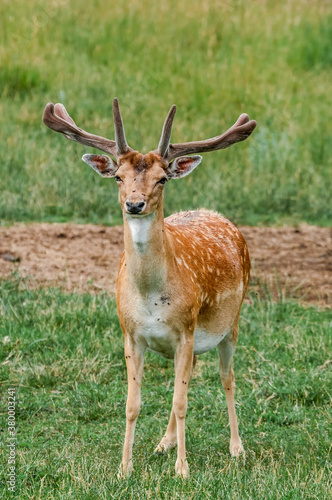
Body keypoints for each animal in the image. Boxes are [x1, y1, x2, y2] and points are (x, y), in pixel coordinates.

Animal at [42, 99, 256, 478]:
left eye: (162, 179)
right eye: (118, 176)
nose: (134, 204)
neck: (150, 298)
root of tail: (217, 215)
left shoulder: (186, 329)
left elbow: (182, 401)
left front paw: (183, 470)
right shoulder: (131, 333)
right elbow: (133, 403)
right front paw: (124, 468)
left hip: (231, 322)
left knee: (227, 377)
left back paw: (236, 448)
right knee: (190, 376)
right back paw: (164, 443)